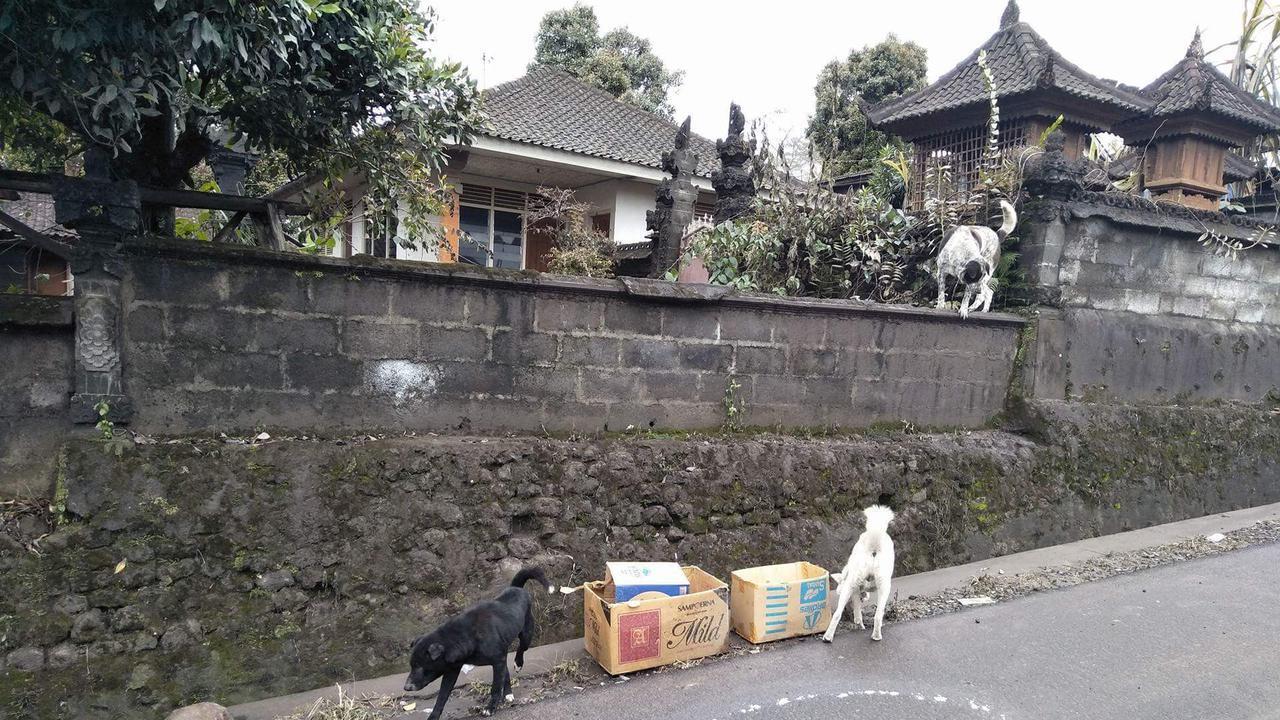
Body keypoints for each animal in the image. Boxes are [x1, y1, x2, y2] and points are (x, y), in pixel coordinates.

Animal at [404, 563, 550, 712]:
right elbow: (441, 699)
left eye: (420, 666)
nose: (406, 687)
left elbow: (495, 687)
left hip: (526, 633)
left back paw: (518, 664)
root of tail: (516, 588)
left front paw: (490, 708)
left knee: (521, 649)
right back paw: (508, 693)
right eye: (411, 665)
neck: (463, 636)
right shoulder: (452, 670)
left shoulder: (497, 661)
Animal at [824, 502, 896, 640]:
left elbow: (857, 611)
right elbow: (858, 610)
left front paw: (859, 624)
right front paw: (860, 625)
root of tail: (874, 539)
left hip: (865, 584)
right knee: (875, 614)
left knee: (839, 614)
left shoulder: (854, 589)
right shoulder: (856, 590)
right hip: (875, 586)